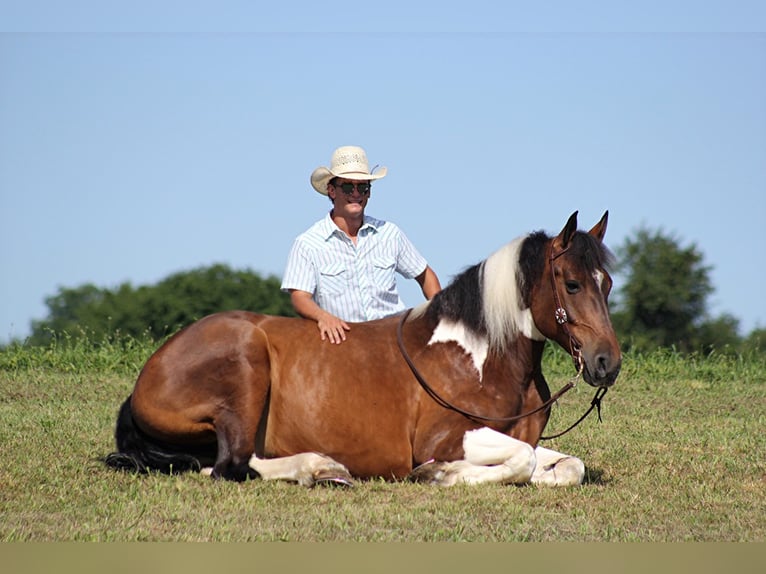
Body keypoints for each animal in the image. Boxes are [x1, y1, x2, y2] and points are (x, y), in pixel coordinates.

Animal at [105, 209, 620, 488]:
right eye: (572, 283)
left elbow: (565, 466)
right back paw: (317, 467)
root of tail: (147, 376)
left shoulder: (525, 437)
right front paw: (439, 474)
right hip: (246, 364)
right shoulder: (443, 439)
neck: (479, 357)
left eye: (608, 282)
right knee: (229, 465)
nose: (607, 363)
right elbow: (519, 460)